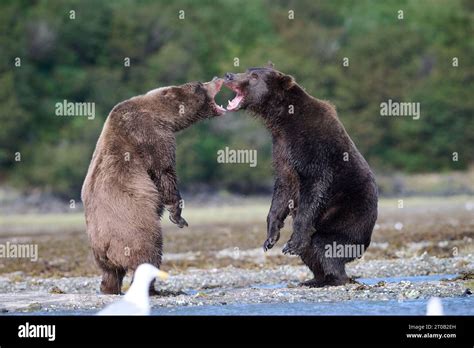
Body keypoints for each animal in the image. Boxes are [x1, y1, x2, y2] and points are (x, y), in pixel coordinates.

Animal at [225, 64, 378, 286]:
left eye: (254, 76)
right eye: (247, 70)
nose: (228, 75)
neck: (282, 119)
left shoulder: (312, 147)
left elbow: (314, 186)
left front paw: (291, 243)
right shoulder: (282, 149)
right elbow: (283, 188)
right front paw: (270, 238)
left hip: (347, 218)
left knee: (326, 245)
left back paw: (336, 278)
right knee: (312, 252)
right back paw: (315, 279)